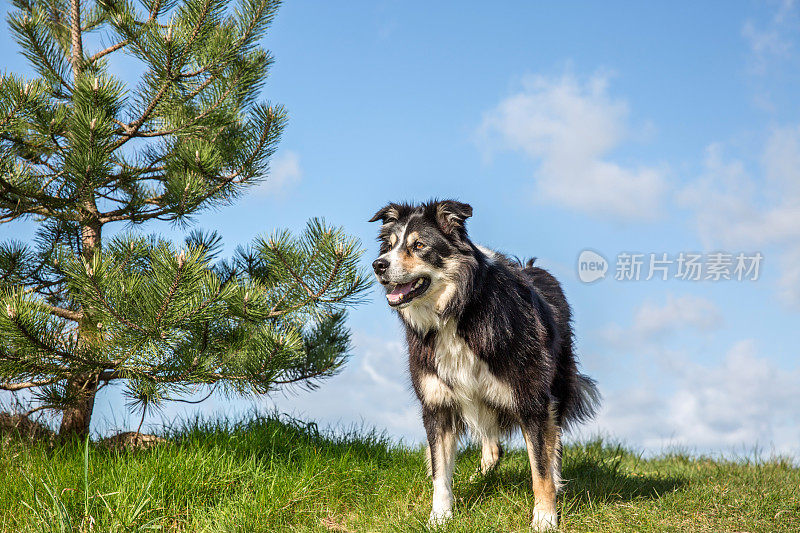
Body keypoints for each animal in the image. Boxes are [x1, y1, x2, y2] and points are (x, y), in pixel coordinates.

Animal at [370, 198, 600, 528]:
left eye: (419, 245)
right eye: (388, 246)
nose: (378, 265)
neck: (457, 312)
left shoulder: (530, 398)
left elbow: (540, 468)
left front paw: (544, 518)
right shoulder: (437, 403)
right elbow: (440, 470)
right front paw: (439, 518)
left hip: (556, 382)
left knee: (553, 437)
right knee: (490, 438)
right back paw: (483, 473)